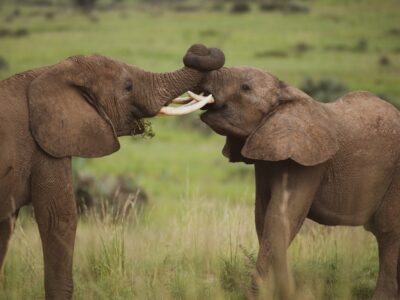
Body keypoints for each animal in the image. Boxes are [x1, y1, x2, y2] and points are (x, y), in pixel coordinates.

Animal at [189, 66, 400, 300]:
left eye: (245, 87)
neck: (285, 94)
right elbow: (263, 217)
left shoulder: (307, 163)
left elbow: (280, 218)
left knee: (388, 232)